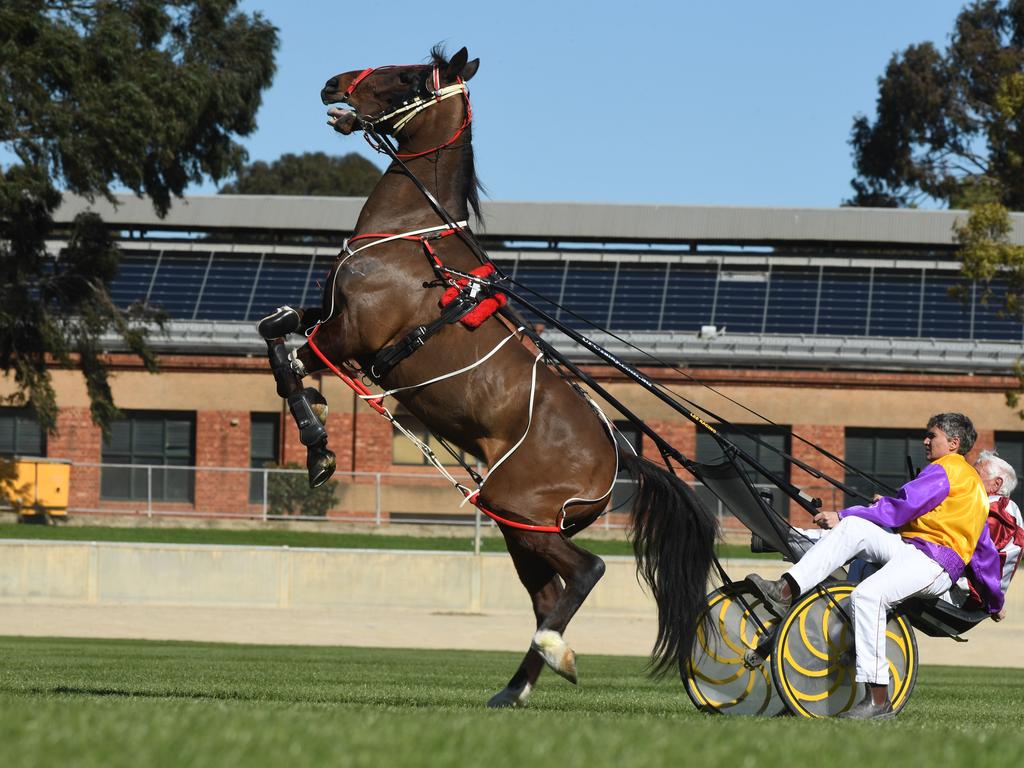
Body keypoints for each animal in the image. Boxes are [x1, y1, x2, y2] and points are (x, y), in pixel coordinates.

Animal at [260, 46, 716, 708]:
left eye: (408, 76)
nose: (333, 82)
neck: (411, 241)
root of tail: (621, 453)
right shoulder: (327, 319)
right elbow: (273, 332)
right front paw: (316, 428)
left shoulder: (348, 337)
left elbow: (288, 360)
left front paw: (318, 443)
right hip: (517, 523)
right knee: (550, 594)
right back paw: (516, 686)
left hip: (513, 505)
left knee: (585, 572)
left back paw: (552, 652)